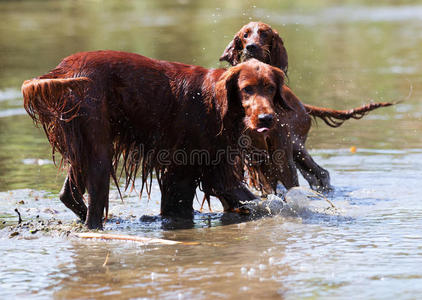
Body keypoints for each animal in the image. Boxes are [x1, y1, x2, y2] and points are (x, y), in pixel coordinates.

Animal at [20, 52, 290, 230]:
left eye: (270, 88)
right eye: (247, 89)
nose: (266, 118)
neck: (218, 101)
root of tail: (63, 69)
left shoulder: (185, 168)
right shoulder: (214, 168)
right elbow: (259, 201)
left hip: (82, 144)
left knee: (69, 194)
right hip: (99, 149)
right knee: (93, 206)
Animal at [219, 22, 394, 193]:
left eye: (264, 34)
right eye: (245, 35)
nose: (251, 46)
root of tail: (302, 105)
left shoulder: (281, 153)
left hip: (297, 146)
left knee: (321, 173)